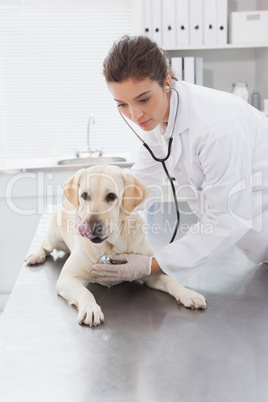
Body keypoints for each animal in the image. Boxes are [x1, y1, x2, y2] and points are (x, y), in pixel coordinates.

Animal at [26, 165, 206, 326]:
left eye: (111, 196)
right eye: (84, 195)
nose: (92, 226)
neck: (110, 246)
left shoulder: (149, 269)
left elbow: (170, 280)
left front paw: (188, 294)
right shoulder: (67, 278)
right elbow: (85, 292)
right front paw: (91, 309)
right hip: (53, 236)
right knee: (45, 246)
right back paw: (36, 255)